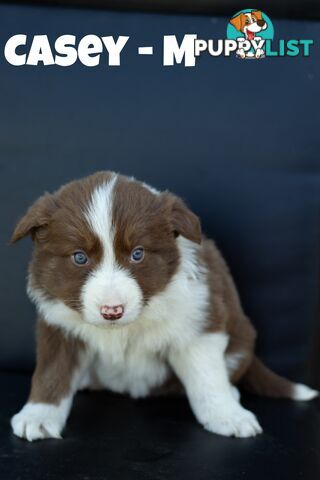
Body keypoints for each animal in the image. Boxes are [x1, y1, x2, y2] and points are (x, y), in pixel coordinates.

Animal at [10, 173, 318, 442]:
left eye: (138, 254)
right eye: (79, 257)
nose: (112, 310)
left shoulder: (198, 323)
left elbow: (208, 376)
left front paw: (227, 415)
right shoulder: (59, 324)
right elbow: (52, 371)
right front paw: (39, 415)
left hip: (240, 339)